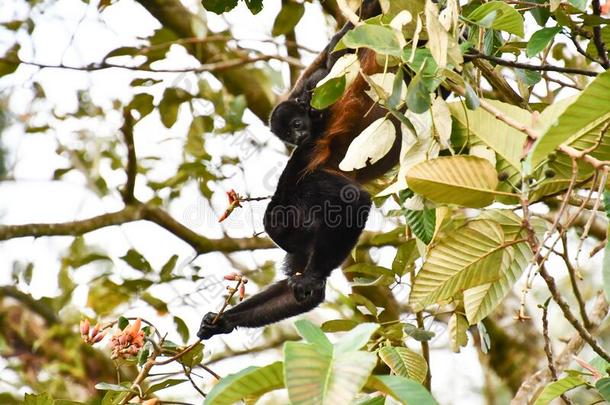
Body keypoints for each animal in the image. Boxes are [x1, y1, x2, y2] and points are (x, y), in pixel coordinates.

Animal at [197, 0, 402, 338]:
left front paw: (312, 277)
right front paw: (219, 322)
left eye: (302, 234)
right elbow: (299, 295)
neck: (290, 196)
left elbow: (353, 200)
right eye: (297, 245)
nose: (304, 255)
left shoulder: (313, 185)